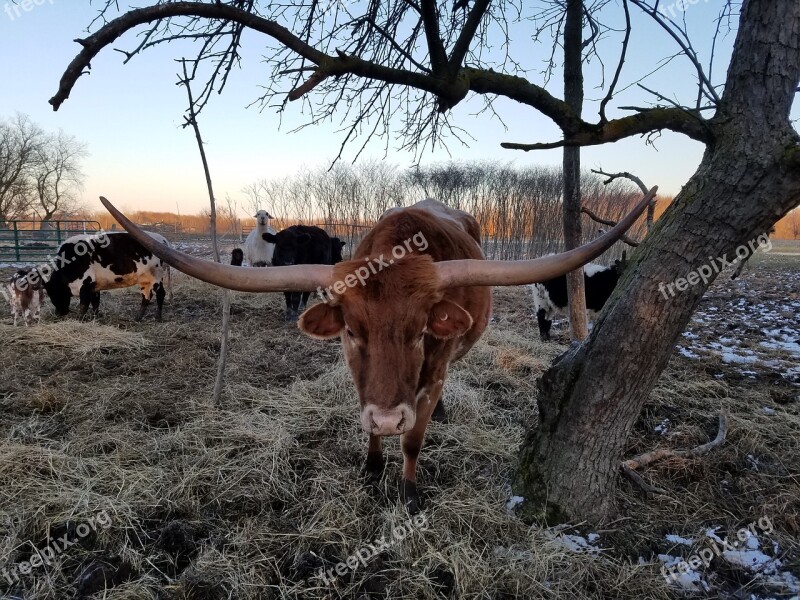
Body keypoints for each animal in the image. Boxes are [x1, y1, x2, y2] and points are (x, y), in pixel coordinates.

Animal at [34, 231, 173, 324]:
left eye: (55, 293)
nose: (60, 312)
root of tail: (162, 239)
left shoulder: (85, 284)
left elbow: (83, 305)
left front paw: (79, 320)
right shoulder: (94, 287)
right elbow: (96, 303)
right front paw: (95, 318)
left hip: (156, 277)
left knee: (157, 295)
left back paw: (153, 318)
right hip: (147, 280)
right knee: (150, 296)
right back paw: (142, 318)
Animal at [98, 190, 656, 512]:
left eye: (420, 332)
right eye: (350, 332)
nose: (389, 418)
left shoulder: (432, 369)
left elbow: (413, 440)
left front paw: (408, 490)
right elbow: (367, 427)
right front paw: (371, 467)